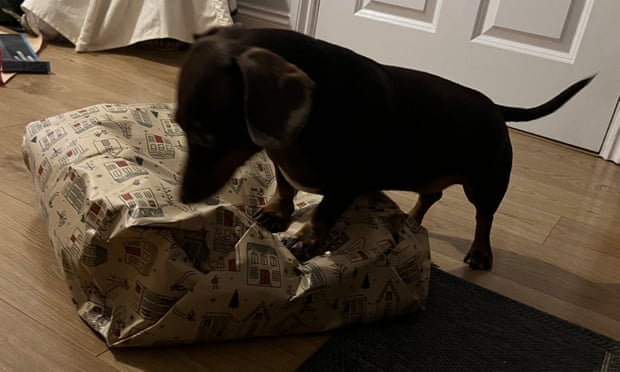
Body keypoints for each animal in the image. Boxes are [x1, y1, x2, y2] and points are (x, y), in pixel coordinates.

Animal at [173, 26, 592, 270]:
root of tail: (494, 107)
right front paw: (277, 212)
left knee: (484, 217)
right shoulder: (283, 162)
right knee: (432, 194)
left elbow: (323, 214)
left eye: (205, 134)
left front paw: (304, 240)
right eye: (179, 125)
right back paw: (411, 218)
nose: (184, 197)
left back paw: (480, 252)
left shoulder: (347, 182)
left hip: (486, 183)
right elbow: (286, 186)